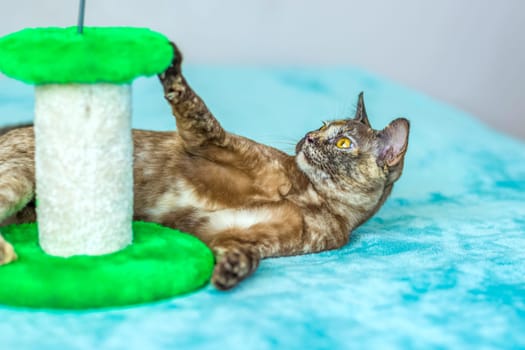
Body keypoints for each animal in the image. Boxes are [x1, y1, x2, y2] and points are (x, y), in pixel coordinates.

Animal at [0, 43, 410, 290]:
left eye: (343, 142)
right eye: (322, 126)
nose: (308, 138)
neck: (315, 200)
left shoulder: (232, 238)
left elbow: (247, 257)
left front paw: (230, 272)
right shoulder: (210, 143)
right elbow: (198, 109)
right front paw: (171, 67)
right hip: (19, 180)